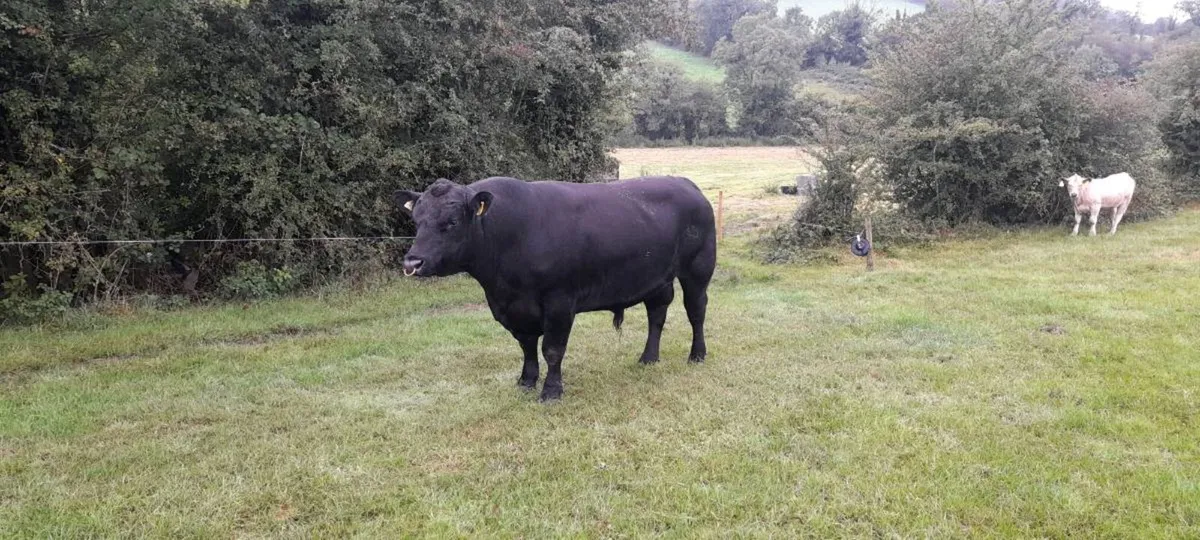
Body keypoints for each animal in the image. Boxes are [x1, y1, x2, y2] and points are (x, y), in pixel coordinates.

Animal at [393, 176, 717, 402]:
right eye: (416, 221)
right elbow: (526, 347)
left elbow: (552, 349)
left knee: (696, 311)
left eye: (451, 222)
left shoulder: (560, 302)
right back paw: (648, 358)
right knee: (657, 315)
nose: (413, 261)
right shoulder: (514, 308)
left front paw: (551, 391)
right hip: (657, 278)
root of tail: (686, 183)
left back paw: (697, 355)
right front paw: (526, 381)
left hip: (698, 269)